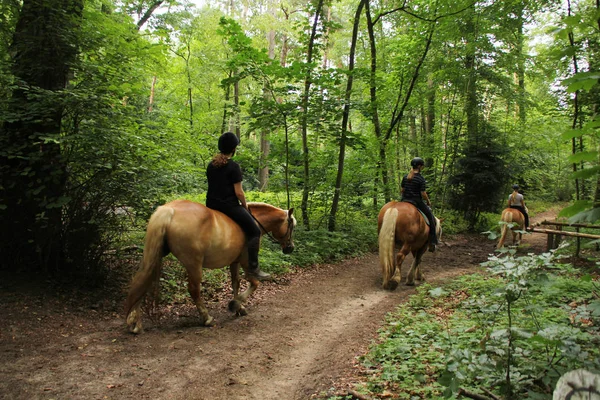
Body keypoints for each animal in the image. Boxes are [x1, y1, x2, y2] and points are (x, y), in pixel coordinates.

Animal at [123, 200, 296, 334]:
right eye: (292, 226)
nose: (290, 248)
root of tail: (169, 210)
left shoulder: (234, 262)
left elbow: (235, 283)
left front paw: (239, 307)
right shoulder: (246, 262)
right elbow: (254, 283)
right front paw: (235, 304)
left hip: (156, 253)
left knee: (143, 281)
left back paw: (135, 323)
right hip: (194, 264)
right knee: (194, 289)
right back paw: (207, 318)